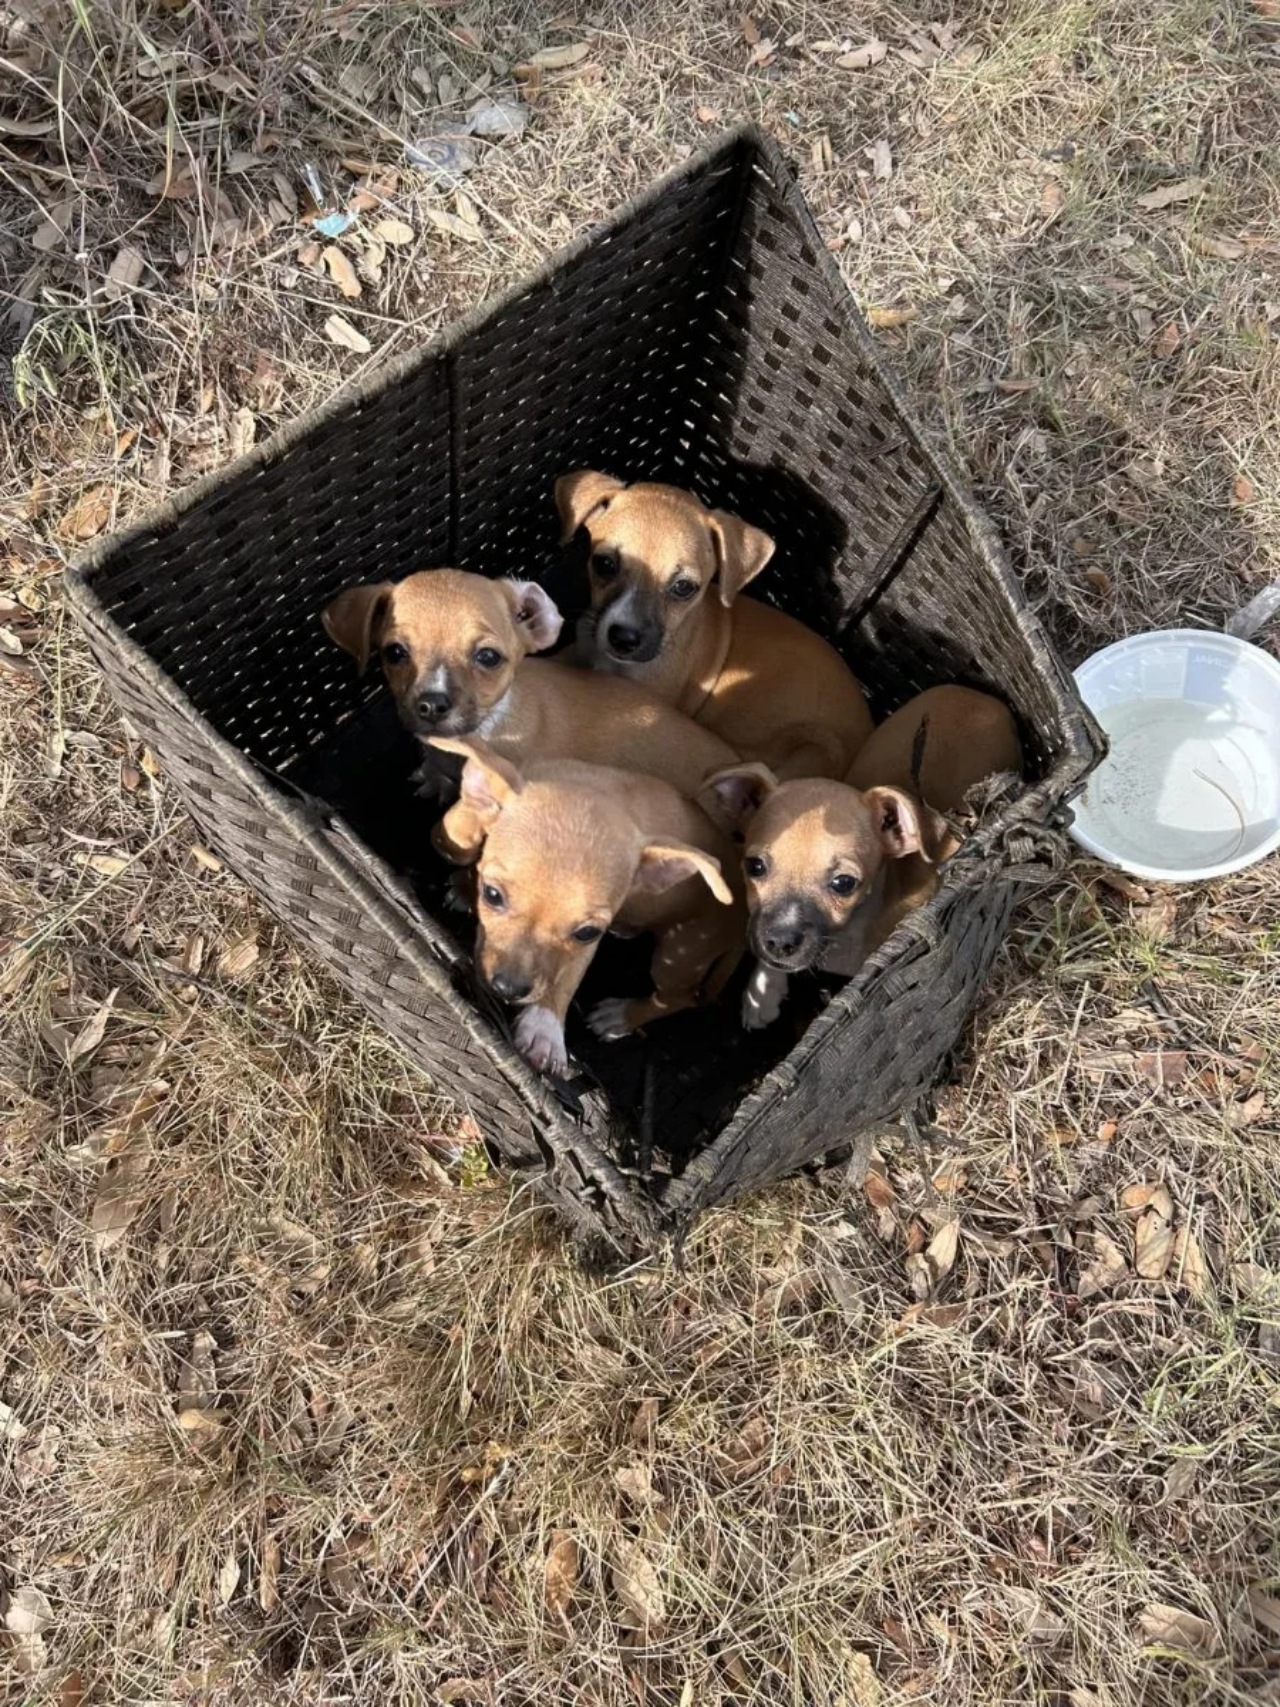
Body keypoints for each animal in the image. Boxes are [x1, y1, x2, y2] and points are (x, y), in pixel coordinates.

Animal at [433, 737, 747, 1078]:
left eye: (586, 933)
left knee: (680, 996)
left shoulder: (585, 948)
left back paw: (621, 1016)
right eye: (491, 895)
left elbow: (567, 978)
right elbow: (464, 831)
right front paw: (463, 853)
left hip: (677, 961)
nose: (508, 989)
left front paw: (545, 1029)